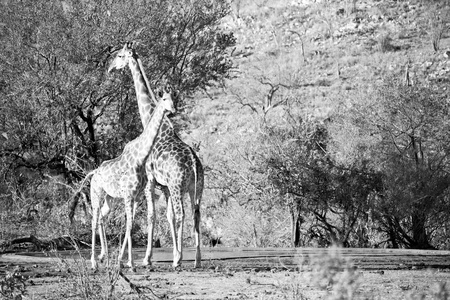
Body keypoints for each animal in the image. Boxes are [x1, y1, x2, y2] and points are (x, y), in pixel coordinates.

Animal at [83, 86, 175, 270]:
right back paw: (94, 262)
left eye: (173, 99)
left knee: (101, 217)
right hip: (96, 194)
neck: (140, 158)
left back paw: (104, 257)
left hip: (109, 198)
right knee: (94, 220)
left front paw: (126, 261)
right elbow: (130, 225)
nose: (173, 111)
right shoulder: (128, 195)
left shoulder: (135, 196)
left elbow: (129, 225)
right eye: (164, 99)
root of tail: (93, 173)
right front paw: (128, 262)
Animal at [108, 41, 203, 268]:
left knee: (182, 213)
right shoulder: (165, 187)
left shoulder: (151, 181)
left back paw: (178, 261)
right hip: (197, 188)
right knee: (196, 213)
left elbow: (152, 216)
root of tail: (194, 163)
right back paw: (196, 260)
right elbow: (168, 216)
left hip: (179, 186)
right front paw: (172, 253)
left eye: (120, 55)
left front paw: (147, 258)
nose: (110, 67)